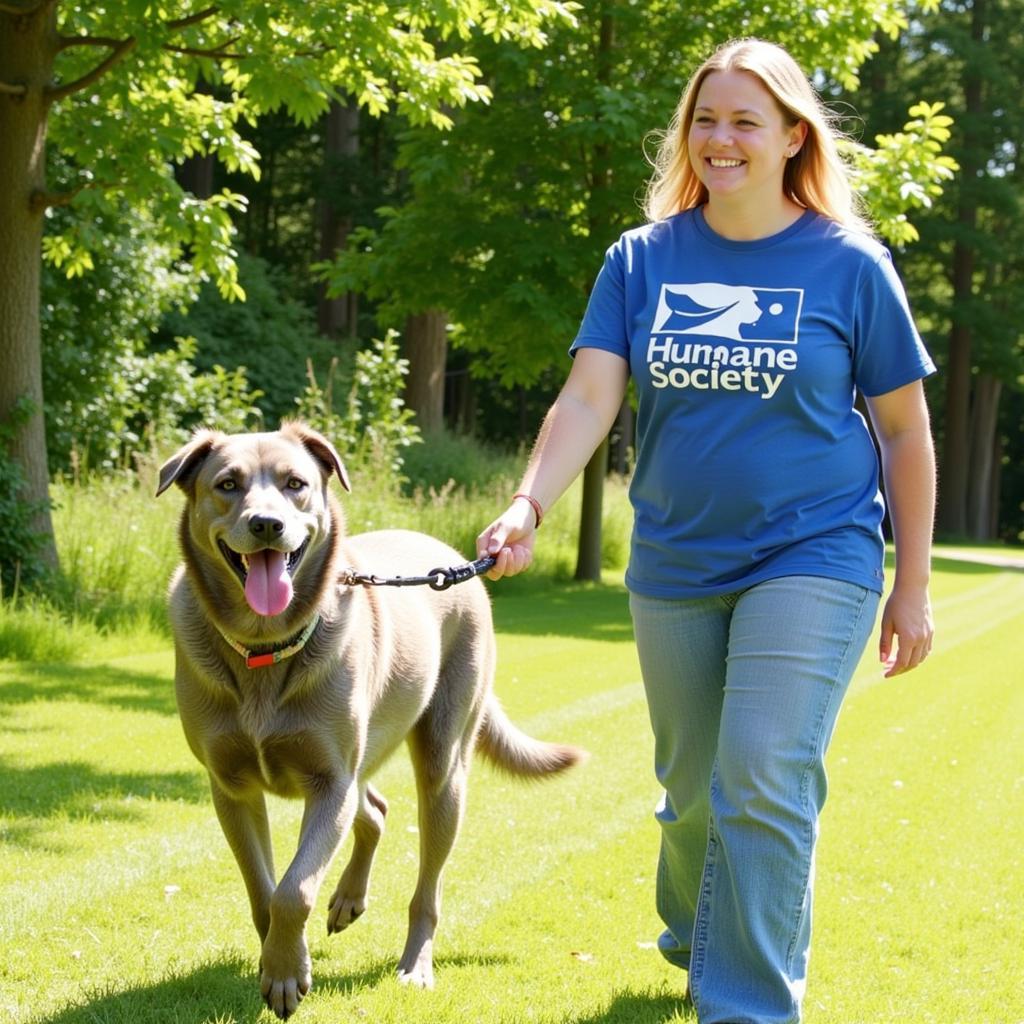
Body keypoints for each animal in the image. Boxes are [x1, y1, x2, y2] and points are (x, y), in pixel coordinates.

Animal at [153, 421, 585, 1015]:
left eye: (294, 483)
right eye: (227, 484)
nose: (267, 525)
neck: (264, 647)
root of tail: (454, 563)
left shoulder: (329, 782)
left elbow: (294, 890)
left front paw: (286, 973)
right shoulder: (232, 787)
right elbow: (264, 889)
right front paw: (276, 961)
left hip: (442, 763)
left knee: (427, 883)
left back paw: (414, 964)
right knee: (375, 809)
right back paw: (347, 900)